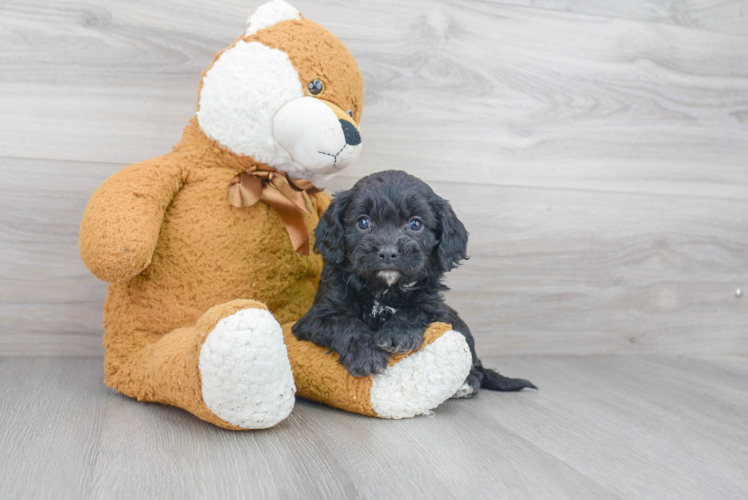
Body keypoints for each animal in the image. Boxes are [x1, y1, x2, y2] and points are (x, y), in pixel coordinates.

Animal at [290, 170, 532, 396]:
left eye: (415, 224)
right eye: (363, 222)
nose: (388, 252)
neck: (383, 290)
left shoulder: (433, 304)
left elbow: (415, 310)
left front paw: (398, 334)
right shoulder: (316, 316)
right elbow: (346, 324)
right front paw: (365, 355)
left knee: (476, 366)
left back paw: (466, 384)